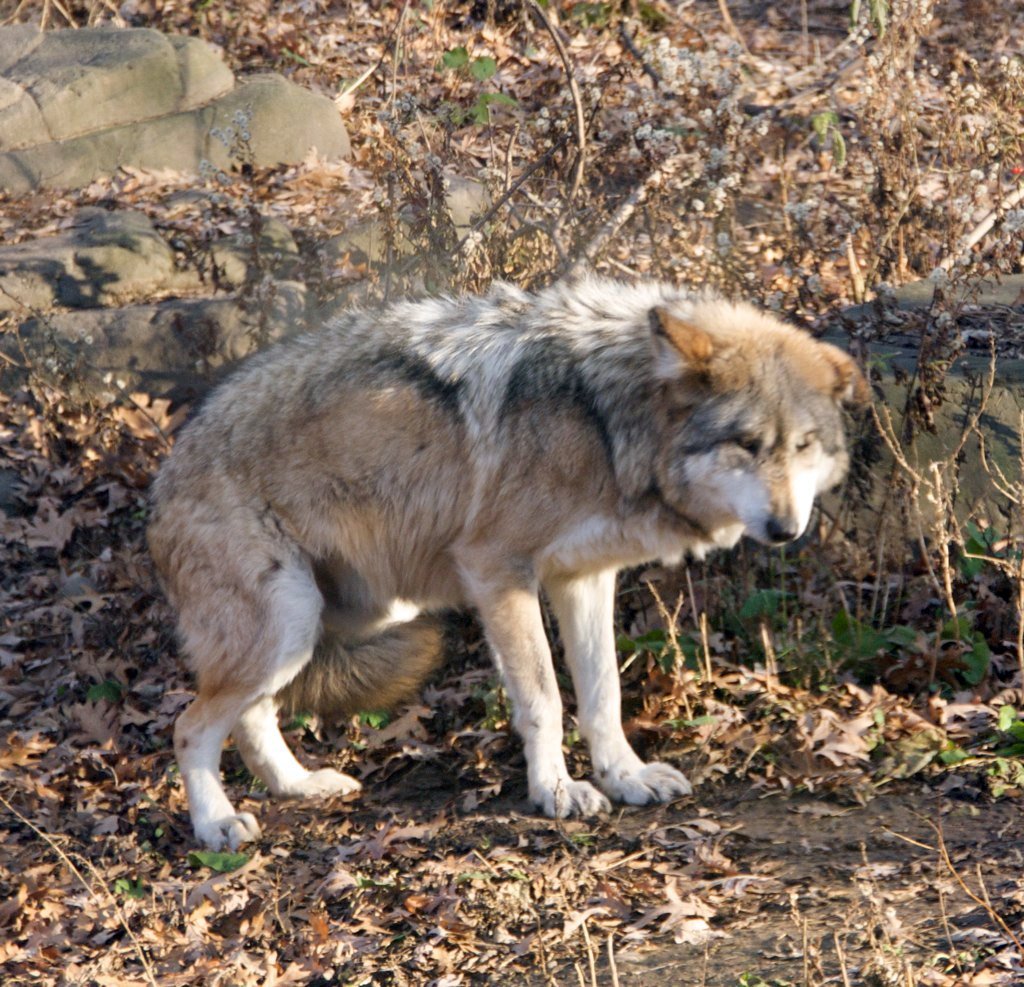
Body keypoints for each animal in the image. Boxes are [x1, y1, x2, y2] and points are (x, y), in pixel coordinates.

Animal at [148, 276, 864, 847]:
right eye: (746, 444)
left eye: (803, 445)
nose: (785, 529)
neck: (606, 420)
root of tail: (167, 468)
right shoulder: (499, 572)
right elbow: (544, 695)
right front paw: (557, 792)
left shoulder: (584, 578)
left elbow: (603, 693)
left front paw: (625, 776)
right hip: (292, 624)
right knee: (191, 727)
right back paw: (217, 824)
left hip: (328, 624)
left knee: (252, 715)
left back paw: (298, 786)